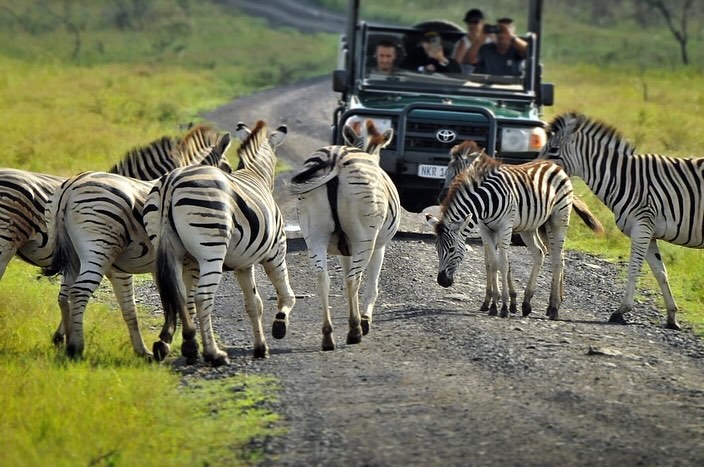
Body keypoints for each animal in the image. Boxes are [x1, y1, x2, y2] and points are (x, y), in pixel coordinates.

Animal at [40, 133, 234, 360]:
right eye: (229, 169)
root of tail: (69, 188)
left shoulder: (151, 268)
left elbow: (154, 302)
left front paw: (158, 343)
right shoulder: (177, 263)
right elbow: (183, 300)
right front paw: (176, 341)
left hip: (74, 257)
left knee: (64, 296)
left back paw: (68, 340)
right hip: (98, 251)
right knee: (78, 292)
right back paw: (76, 347)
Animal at [144, 122, 296, 368]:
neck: (256, 174)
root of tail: (170, 182)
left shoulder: (243, 264)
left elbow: (254, 304)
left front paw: (260, 347)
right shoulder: (275, 252)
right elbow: (285, 293)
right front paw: (279, 325)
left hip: (168, 249)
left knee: (178, 295)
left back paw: (188, 346)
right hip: (211, 251)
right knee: (202, 297)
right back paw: (213, 353)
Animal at [290, 124, 402, 352]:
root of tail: (337, 157)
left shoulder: (344, 250)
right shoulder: (378, 247)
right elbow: (371, 286)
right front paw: (365, 321)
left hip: (314, 234)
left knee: (322, 278)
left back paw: (327, 336)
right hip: (364, 238)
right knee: (353, 280)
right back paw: (355, 330)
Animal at [426, 148, 604, 320]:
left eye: (451, 250)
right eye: (436, 249)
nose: (442, 281)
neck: (486, 202)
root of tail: (555, 165)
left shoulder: (505, 227)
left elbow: (504, 264)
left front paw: (504, 306)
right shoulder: (486, 229)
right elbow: (493, 263)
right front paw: (494, 304)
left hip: (558, 219)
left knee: (557, 260)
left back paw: (554, 308)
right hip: (531, 227)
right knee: (541, 253)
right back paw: (529, 304)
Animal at [540, 111, 704, 330]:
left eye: (553, 149)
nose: (537, 169)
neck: (624, 179)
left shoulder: (642, 226)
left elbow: (634, 268)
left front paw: (621, 311)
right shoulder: (648, 232)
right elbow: (661, 273)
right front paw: (672, 317)